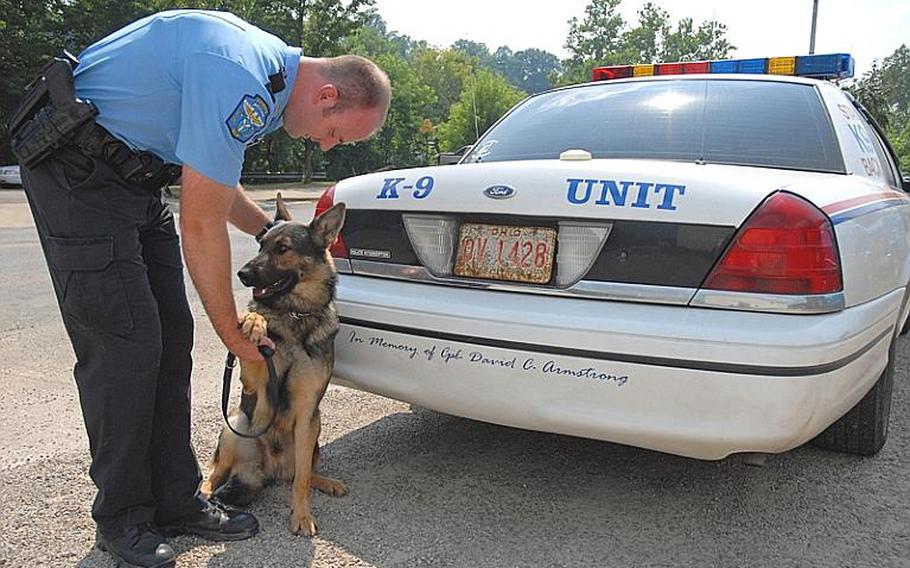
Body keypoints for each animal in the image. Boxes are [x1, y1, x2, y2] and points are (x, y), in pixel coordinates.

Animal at [203, 196, 350, 536]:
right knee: (215, 472)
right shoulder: (252, 380)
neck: (294, 316)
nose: (242, 274)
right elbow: (254, 327)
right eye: (260, 245)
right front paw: (253, 322)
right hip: (236, 426)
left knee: (299, 474)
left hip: (313, 434)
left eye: (283, 248)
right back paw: (203, 492)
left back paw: (325, 481)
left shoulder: (308, 410)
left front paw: (302, 515)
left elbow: (302, 481)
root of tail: (268, 470)